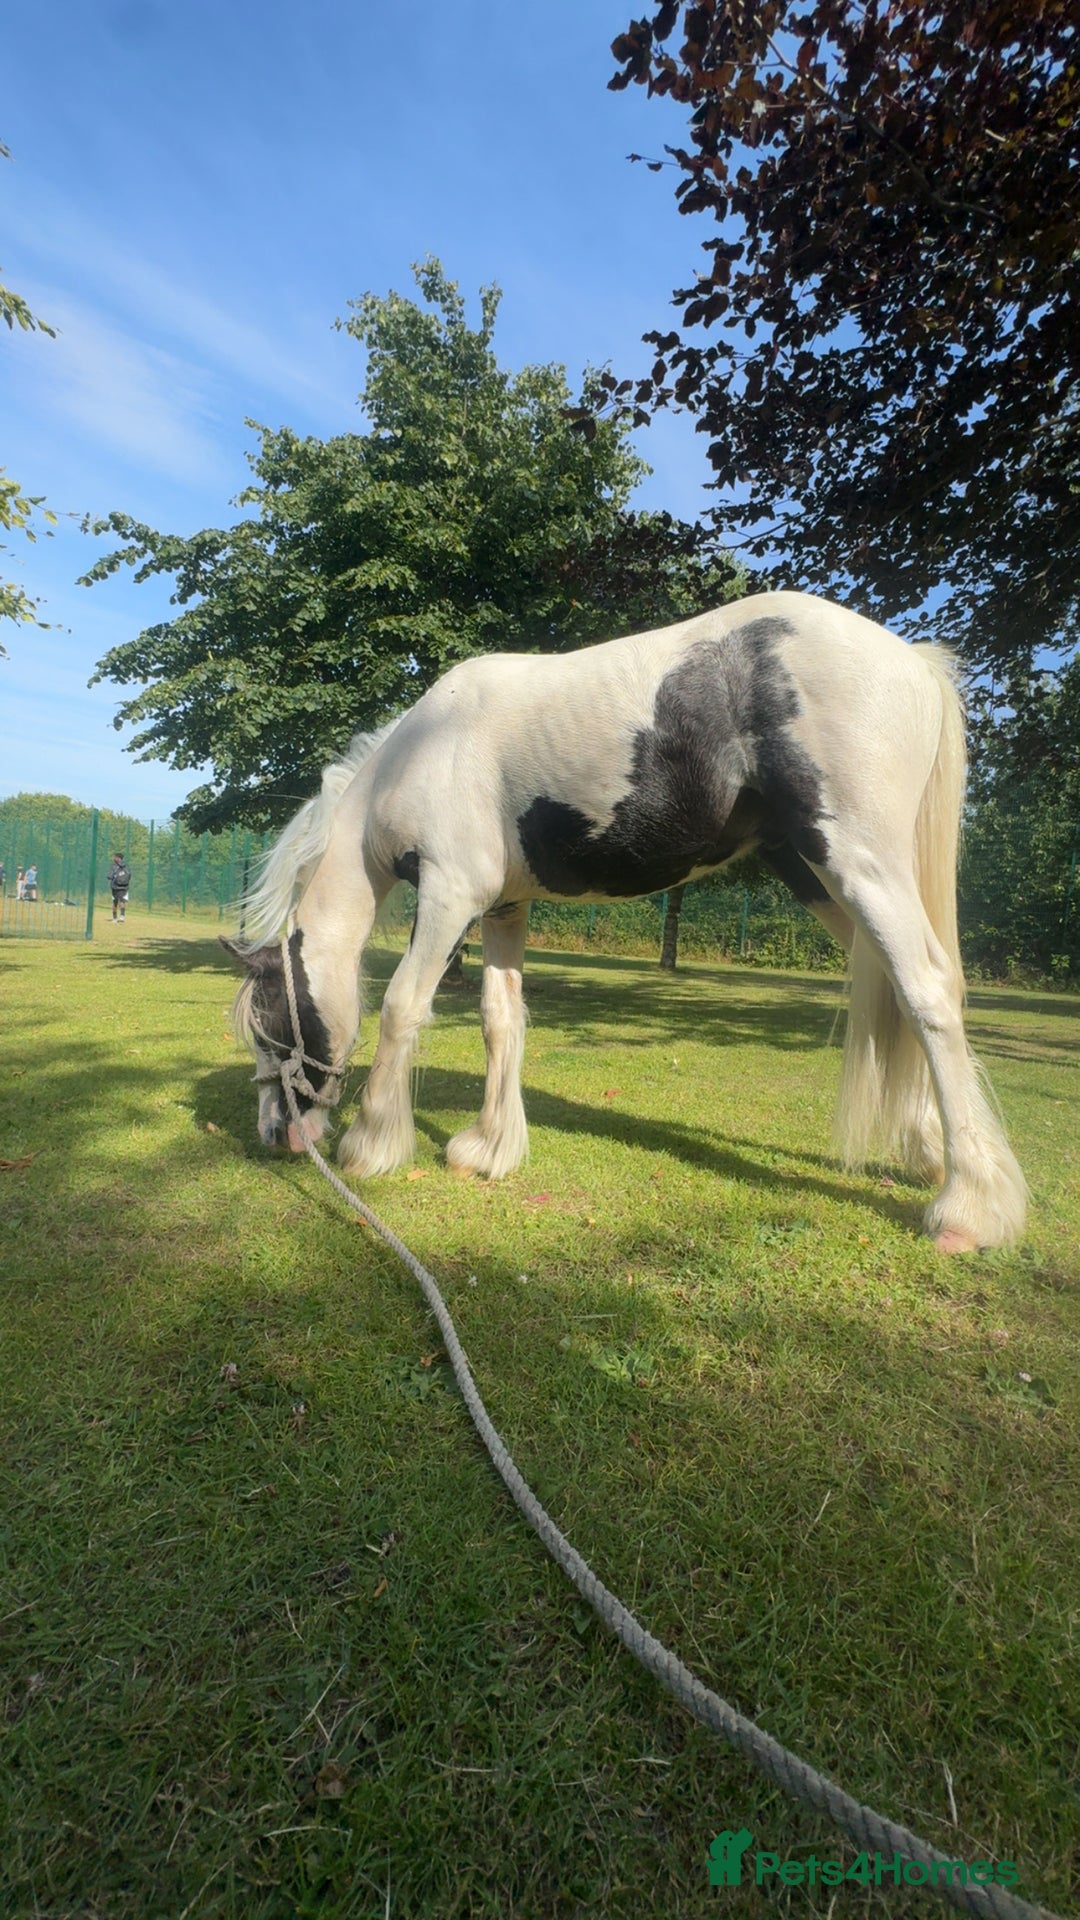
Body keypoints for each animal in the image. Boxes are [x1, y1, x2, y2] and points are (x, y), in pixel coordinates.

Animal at [224, 590, 1027, 1253]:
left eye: (267, 1027)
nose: (274, 1135)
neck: (419, 756)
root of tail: (913, 661)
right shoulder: (504, 906)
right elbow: (500, 1020)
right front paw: (489, 1150)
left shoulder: (450, 896)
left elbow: (400, 1007)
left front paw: (371, 1147)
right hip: (820, 877)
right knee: (896, 989)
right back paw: (933, 1152)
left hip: (860, 864)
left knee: (926, 989)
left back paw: (968, 1207)